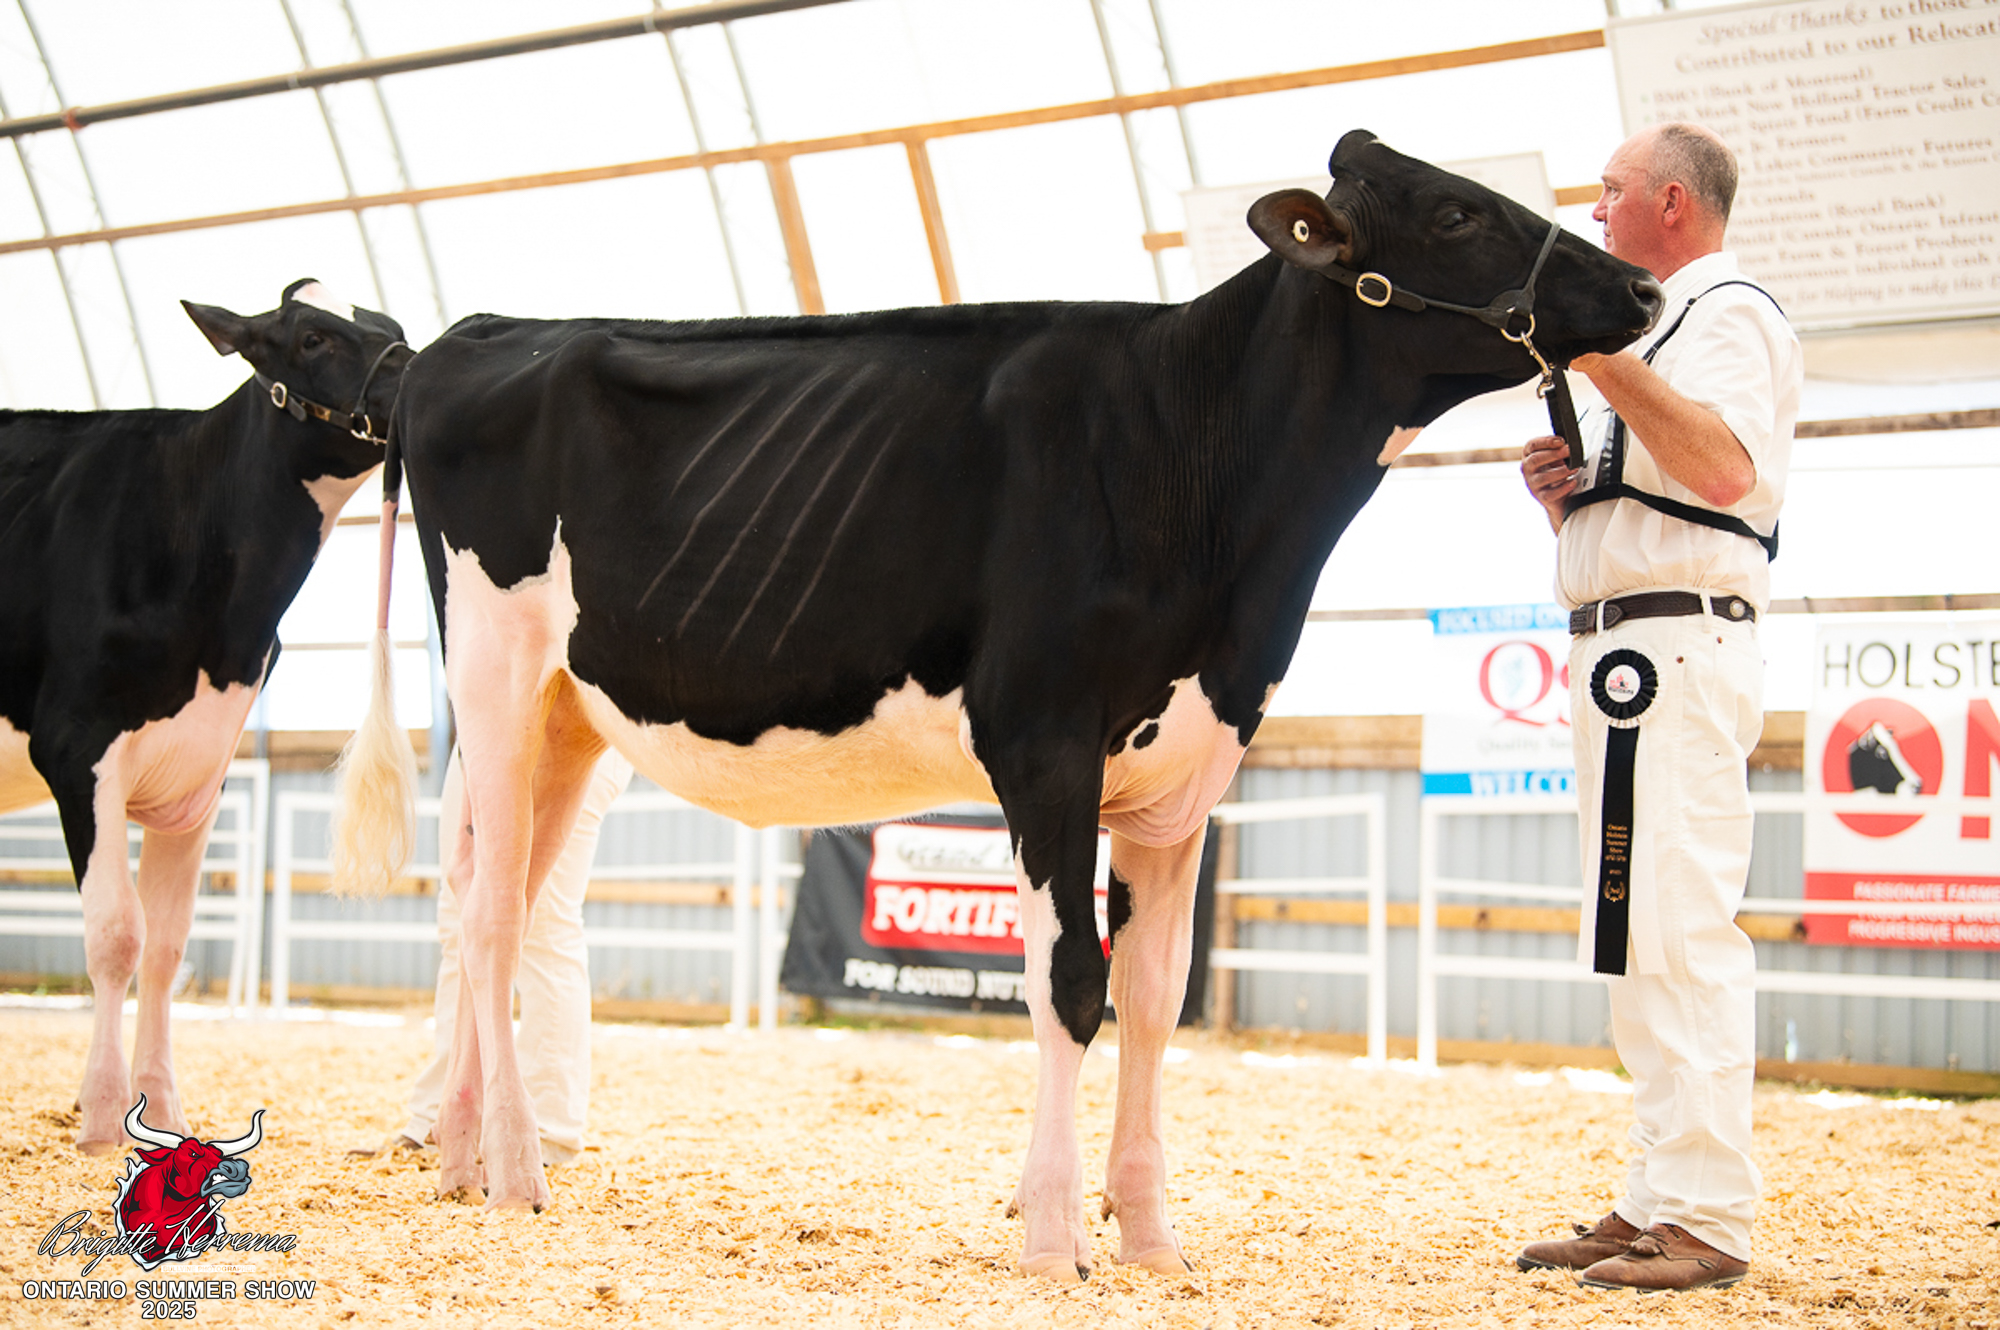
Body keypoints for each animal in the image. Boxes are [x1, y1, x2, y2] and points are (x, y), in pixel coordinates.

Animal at [0, 281, 411, 1152]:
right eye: (314, 336)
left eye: (388, 324)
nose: (417, 369)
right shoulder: (75, 750)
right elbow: (115, 934)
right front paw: (99, 1115)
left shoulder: (201, 770)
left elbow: (165, 942)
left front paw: (159, 1107)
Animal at [337, 131, 1661, 1278]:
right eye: (1454, 212)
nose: (1640, 285)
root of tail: (472, 336)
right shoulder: (1043, 743)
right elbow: (1070, 984)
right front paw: (1053, 1235)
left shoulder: (1184, 774)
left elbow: (1152, 996)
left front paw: (1151, 1240)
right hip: (495, 672)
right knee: (490, 916)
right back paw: (513, 1173)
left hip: (566, 710)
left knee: (486, 899)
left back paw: (457, 1157)